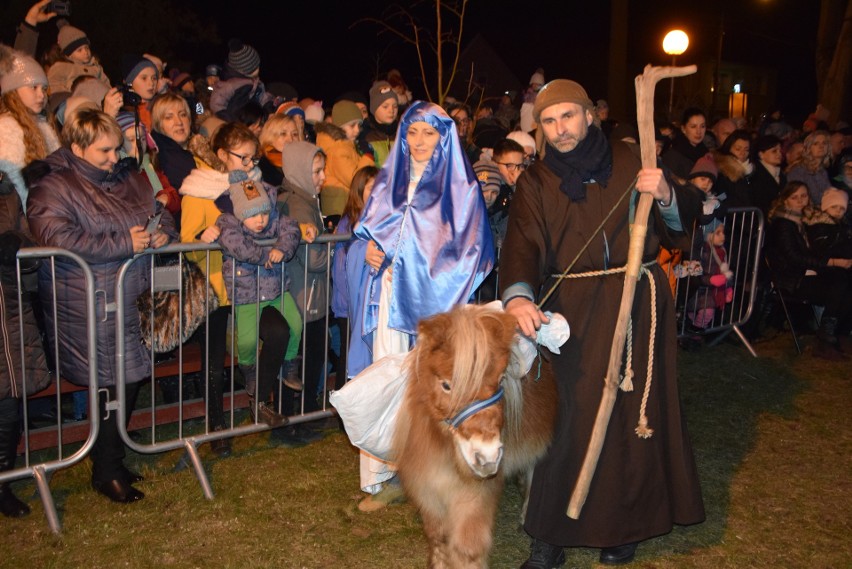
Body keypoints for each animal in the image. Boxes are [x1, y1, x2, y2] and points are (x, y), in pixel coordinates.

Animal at [392, 306, 560, 568]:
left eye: (500, 380)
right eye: (446, 385)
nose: (488, 457)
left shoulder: (474, 499)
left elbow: (467, 550)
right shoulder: (429, 492)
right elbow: (438, 539)